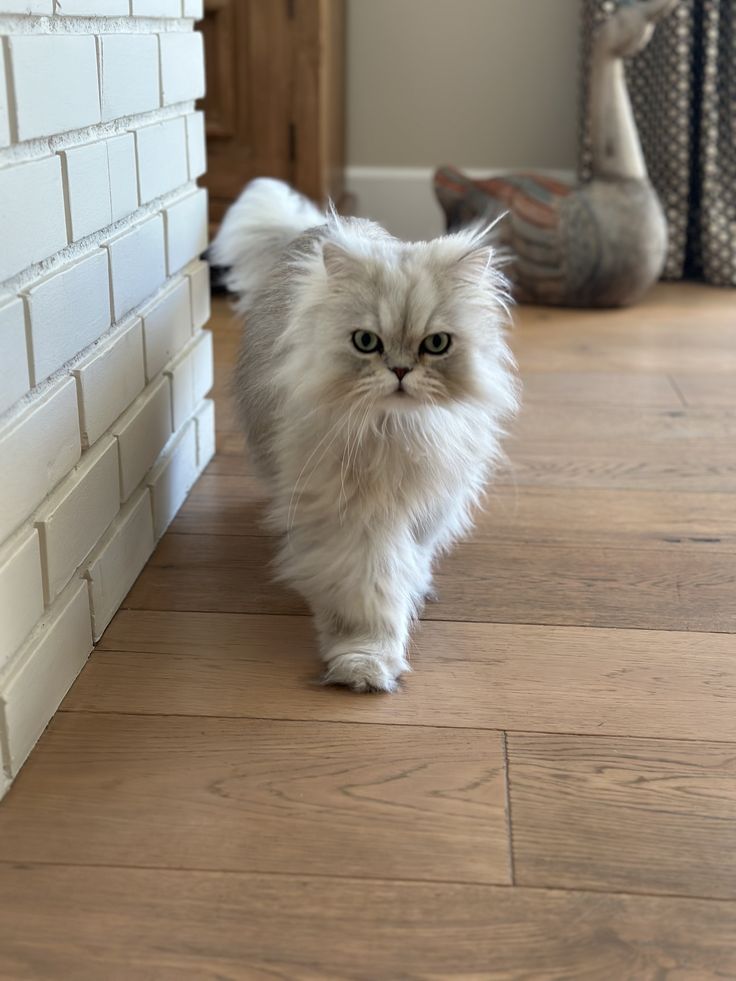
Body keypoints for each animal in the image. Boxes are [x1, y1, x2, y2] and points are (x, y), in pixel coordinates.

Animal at [207, 180, 516, 692]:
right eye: (366, 342)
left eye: (436, 345)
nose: (400, 371)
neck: (394, 431)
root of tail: (323, 226)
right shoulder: (354, 518)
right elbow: (368, 592)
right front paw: (364, 665)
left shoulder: (432, 500)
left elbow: (409, 560)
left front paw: (411, 594)